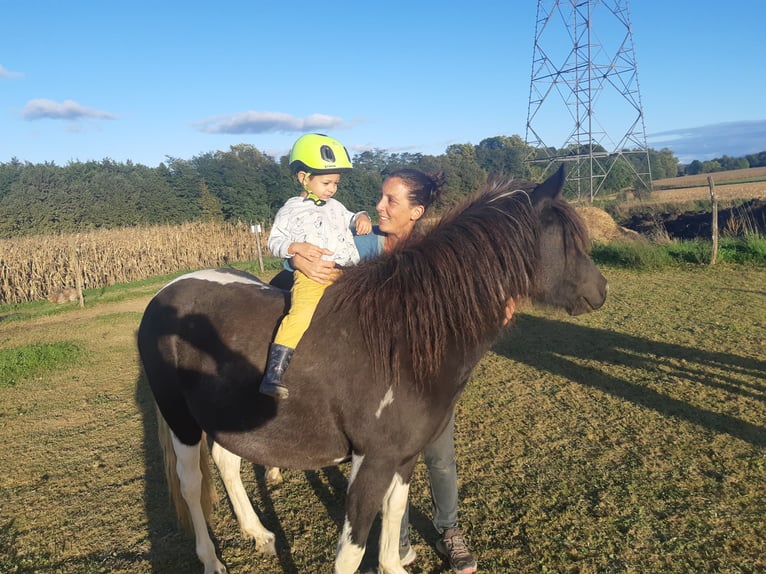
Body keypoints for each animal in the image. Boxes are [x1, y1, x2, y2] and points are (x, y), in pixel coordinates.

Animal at [137, 165, 607, 574]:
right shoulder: (373, 461)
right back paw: (211, 560)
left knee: (227, 461)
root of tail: (166, 292)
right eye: (568, 238)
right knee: (190, 483)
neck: (402, 338)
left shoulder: (403, 457)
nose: (600, 290)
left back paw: (260, 534)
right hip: (182, 422)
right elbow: (351, 551)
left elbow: (394, 515)